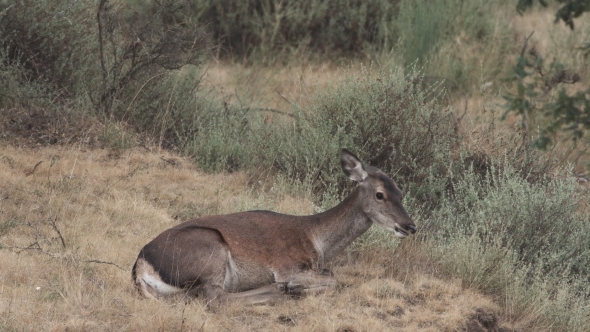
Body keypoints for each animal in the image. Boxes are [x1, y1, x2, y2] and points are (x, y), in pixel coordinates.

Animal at [132, 149, 418, 304]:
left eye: (401, 192)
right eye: (380, 194)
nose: (410, 226)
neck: (318, 243)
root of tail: (139, 267)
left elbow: (332, 276)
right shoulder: (287, 265)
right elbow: (335, 280)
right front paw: (296, 286)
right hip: (210, 249)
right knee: (216, 298)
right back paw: (283, 290)